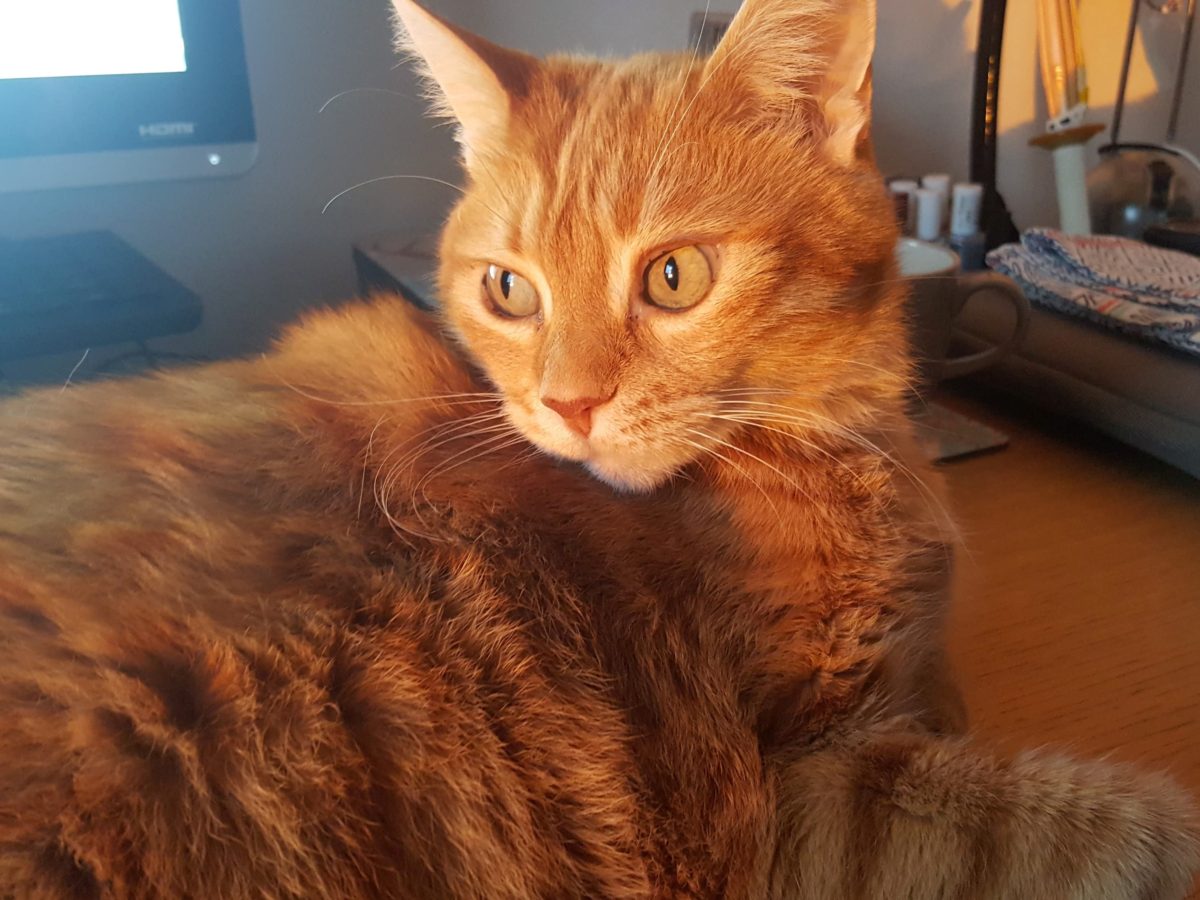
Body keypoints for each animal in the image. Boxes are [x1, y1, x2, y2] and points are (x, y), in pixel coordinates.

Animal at [2, 0, 1200, 897]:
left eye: (674, 277)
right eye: (509, 291)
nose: (570, 403)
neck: (839, 453)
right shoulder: (793, 805)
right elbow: (1092, 827)